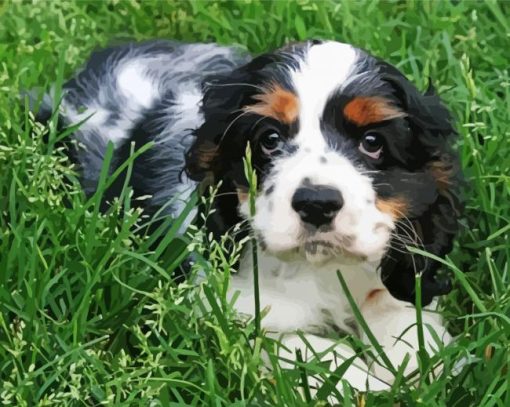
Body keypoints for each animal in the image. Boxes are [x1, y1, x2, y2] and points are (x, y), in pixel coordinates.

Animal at [35, 39, 464, 394]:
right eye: (269, 140)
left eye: (372, 142)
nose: (317, 202)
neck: (318, 268)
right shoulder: (221, 306)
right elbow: (291, 343)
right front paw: (359, 380)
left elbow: (399, 308)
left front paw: (413, 357)